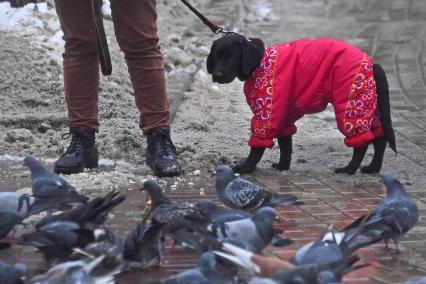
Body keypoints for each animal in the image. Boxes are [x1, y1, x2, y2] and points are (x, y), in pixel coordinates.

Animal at [208, 35, 398, 175]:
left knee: (361, 143)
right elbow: (286, 144)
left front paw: (246, 168)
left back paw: (349, 169)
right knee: (380, 139)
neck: (259, 64)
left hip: (350, 106)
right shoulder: (284, 116)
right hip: (370, 105)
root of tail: (373, 64)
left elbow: (257, 147)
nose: (217, 75)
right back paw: (373, 168)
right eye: (215, 57)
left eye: (232, 58)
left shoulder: (267, 114)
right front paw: (283, 166)